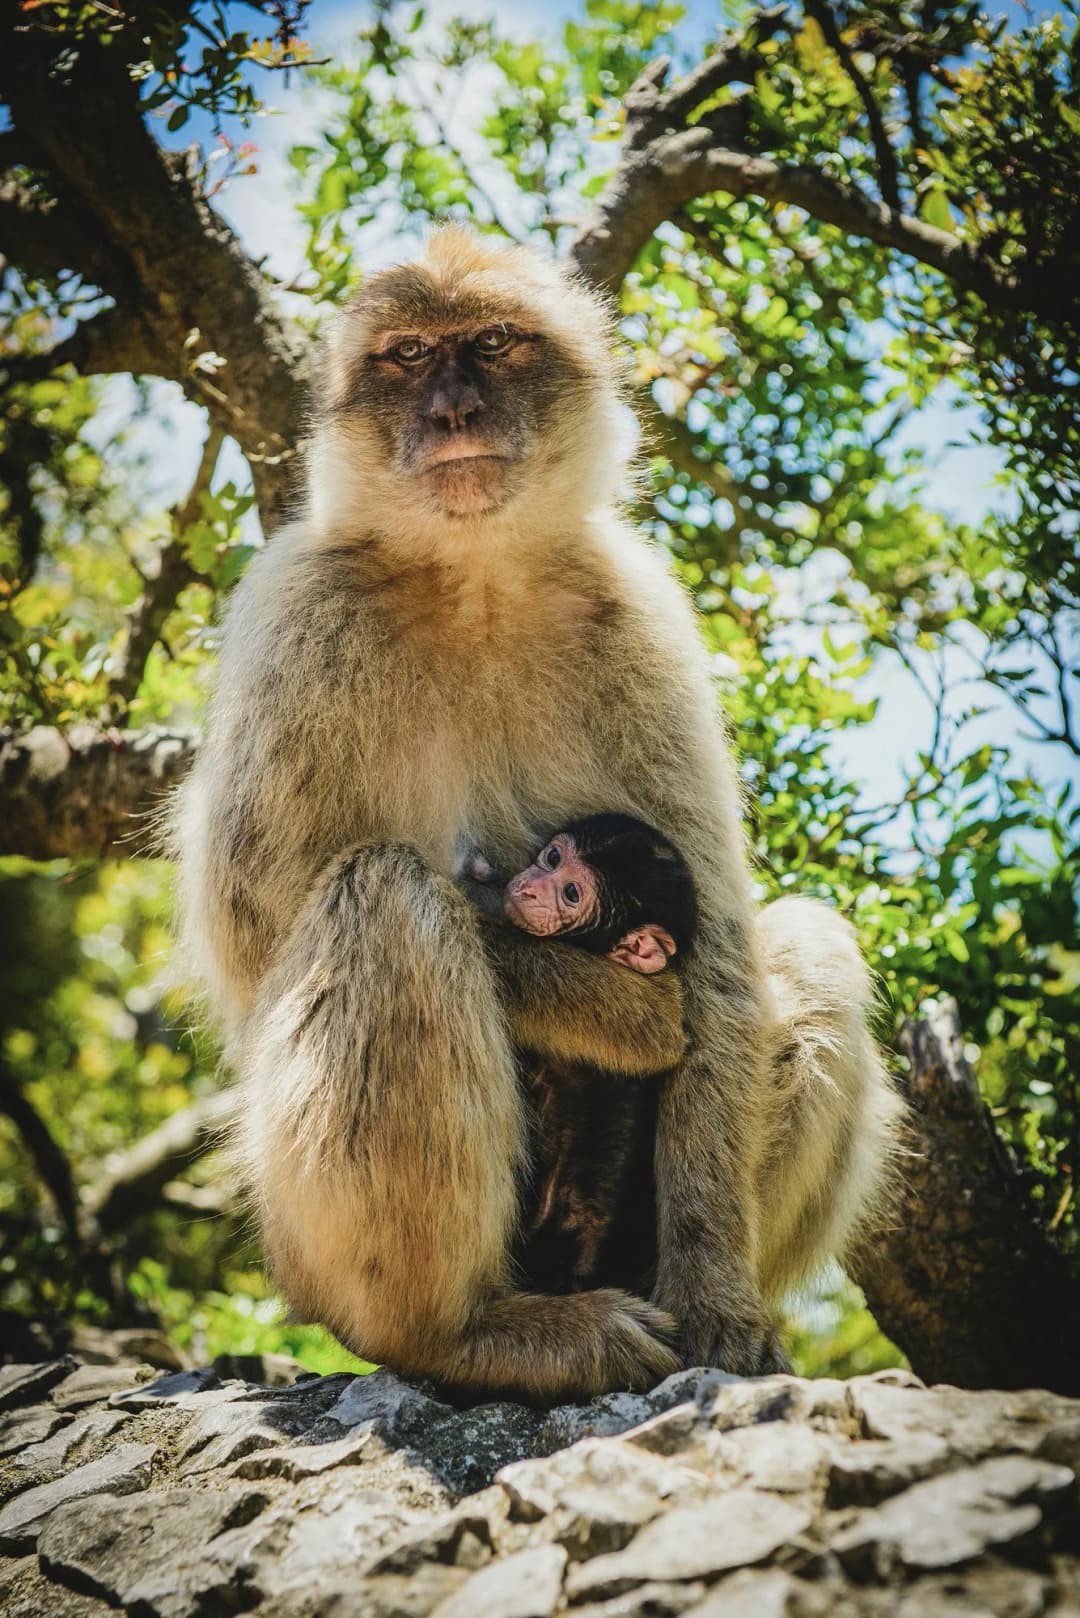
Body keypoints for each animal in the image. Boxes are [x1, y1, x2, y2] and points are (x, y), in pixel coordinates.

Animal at [173, 226, 902, 1402]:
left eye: (494, 345)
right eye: (410, 356)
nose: (454, 410)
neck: (473, 573)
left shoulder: (640, 618)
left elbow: (723, 950)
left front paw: (718, 1299)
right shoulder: (296, 619)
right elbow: (263, 932)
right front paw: (620, 1012)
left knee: (805, 939)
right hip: (301, 1243)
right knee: (383, 895)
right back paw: (462, 1333)